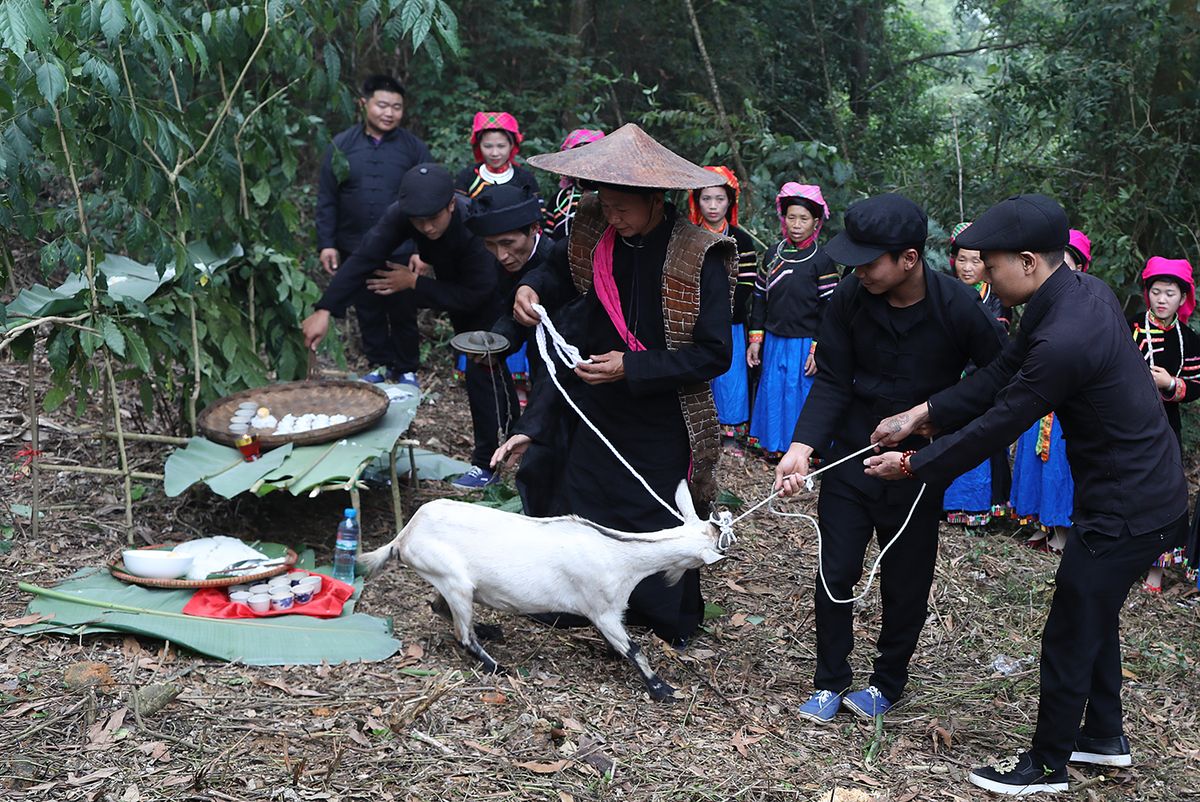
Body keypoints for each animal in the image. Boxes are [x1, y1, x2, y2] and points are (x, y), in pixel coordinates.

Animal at [355, 480, 729, 696]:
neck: (621, 555)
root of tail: (405, 536)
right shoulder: (602, 610)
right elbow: (634, 648)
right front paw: (660, 688)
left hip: (448, 580)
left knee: (438, 606)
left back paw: (489, 630)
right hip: (454, 579)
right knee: (462, 636)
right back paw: (496, 665)